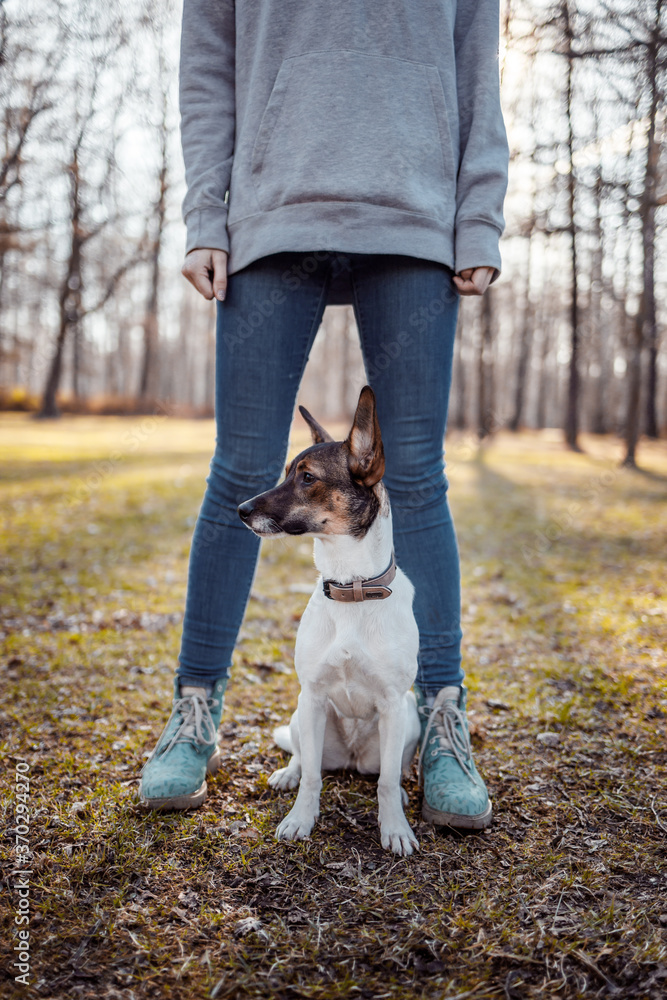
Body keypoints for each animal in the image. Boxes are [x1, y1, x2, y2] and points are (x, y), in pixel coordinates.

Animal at [237, 386, 420, 856]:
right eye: (287, 472)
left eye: (307, 478)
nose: (240, 509)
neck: (350, 587)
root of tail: (352, 759)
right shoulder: (314, 696)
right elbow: (313, 779)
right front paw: (301, 819)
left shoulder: (393, 704)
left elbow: (386, 783)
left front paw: (395, 828)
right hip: (302, 715)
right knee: (306, 758)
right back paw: (289, 773)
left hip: (410, 719)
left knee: (388, 771)